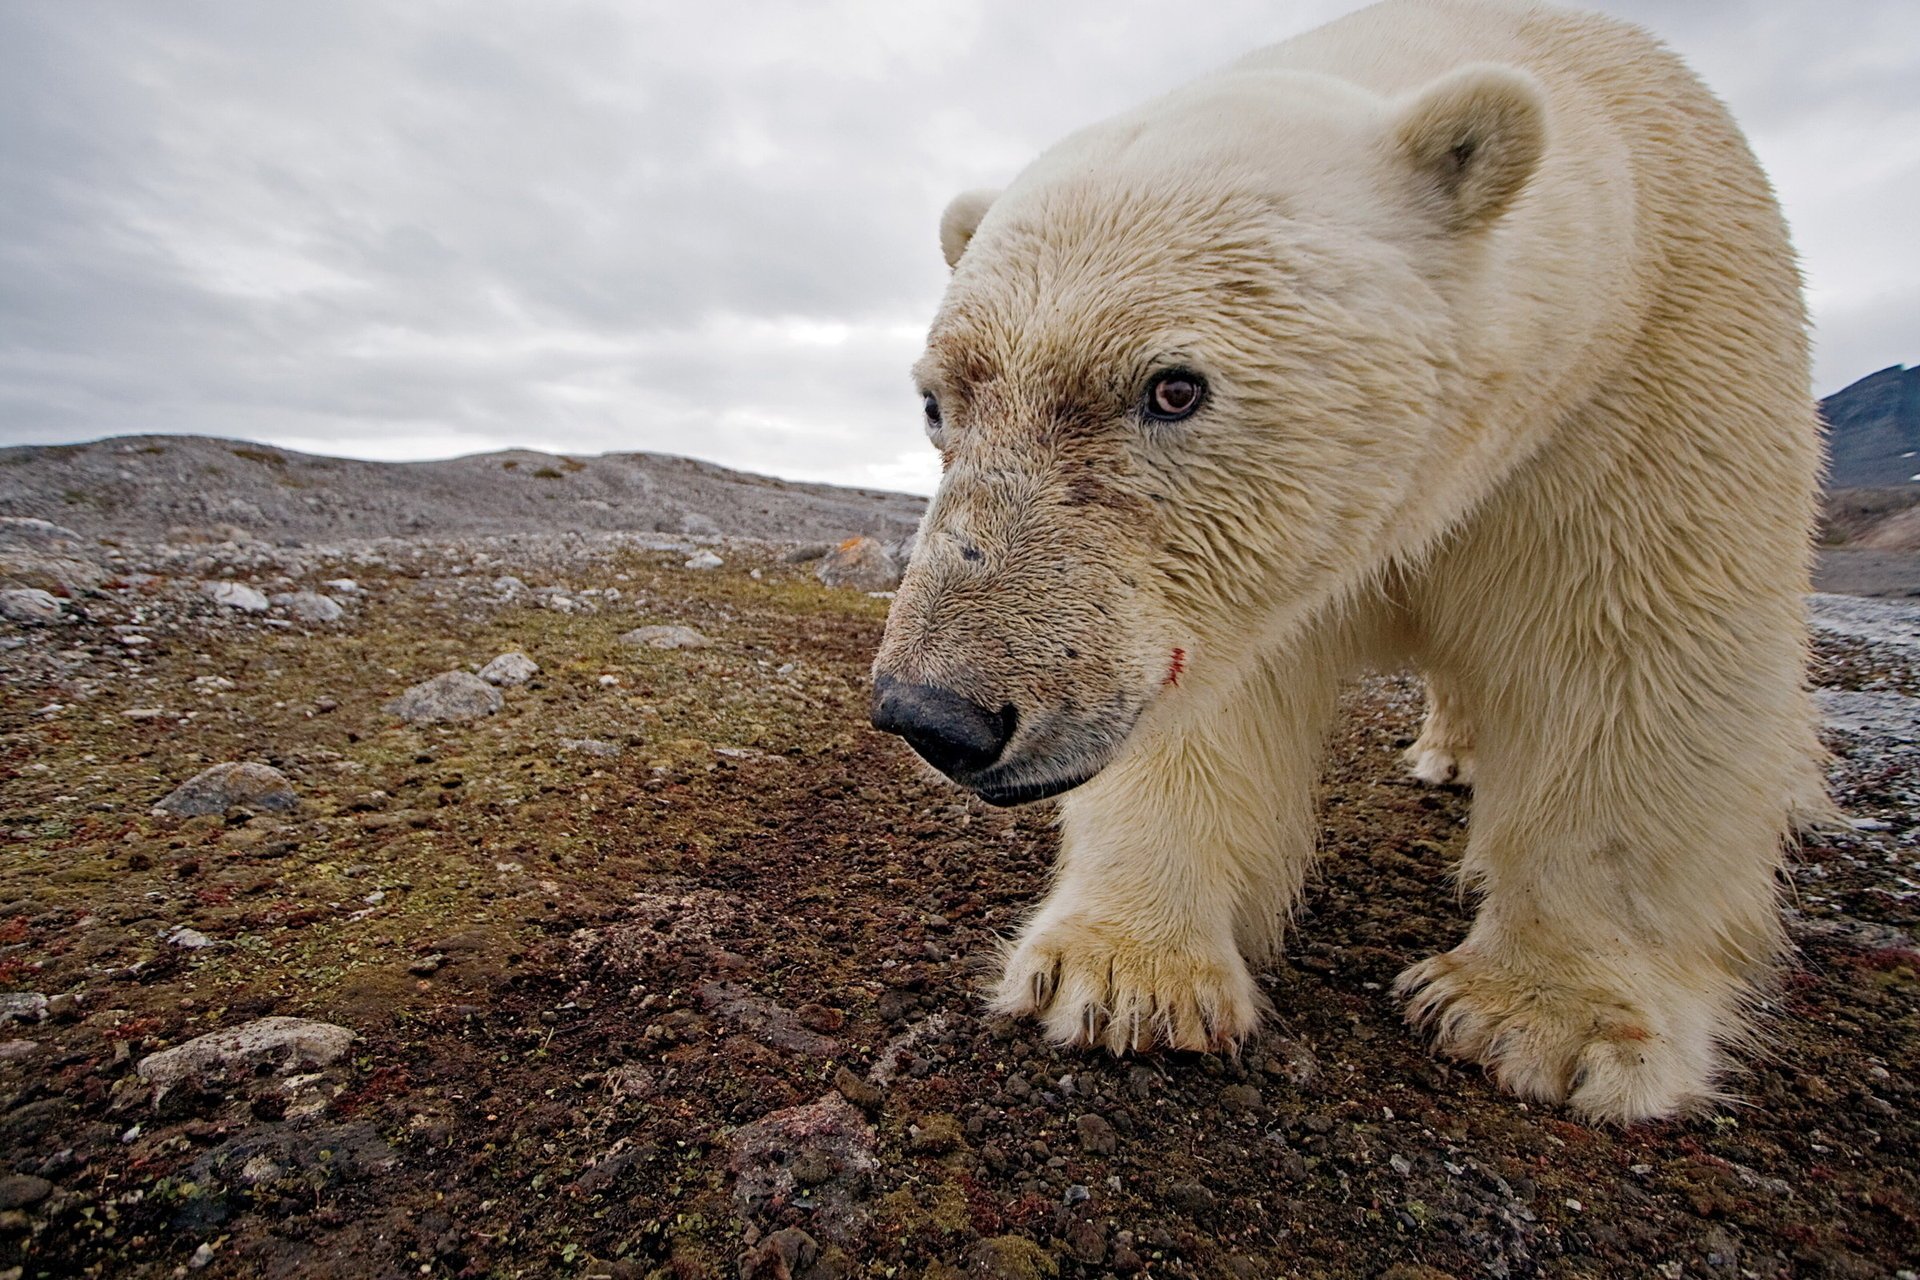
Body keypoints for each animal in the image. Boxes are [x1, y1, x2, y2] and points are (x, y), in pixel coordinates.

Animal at [869, 0, 1825, 1124]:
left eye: (1173, 387)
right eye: (938, 402)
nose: (936, 713)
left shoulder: (1644, 386)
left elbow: (1635, 661)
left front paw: (1547, 1019)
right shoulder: (1238, 577)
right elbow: (1218, 700)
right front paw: (1120, 973)